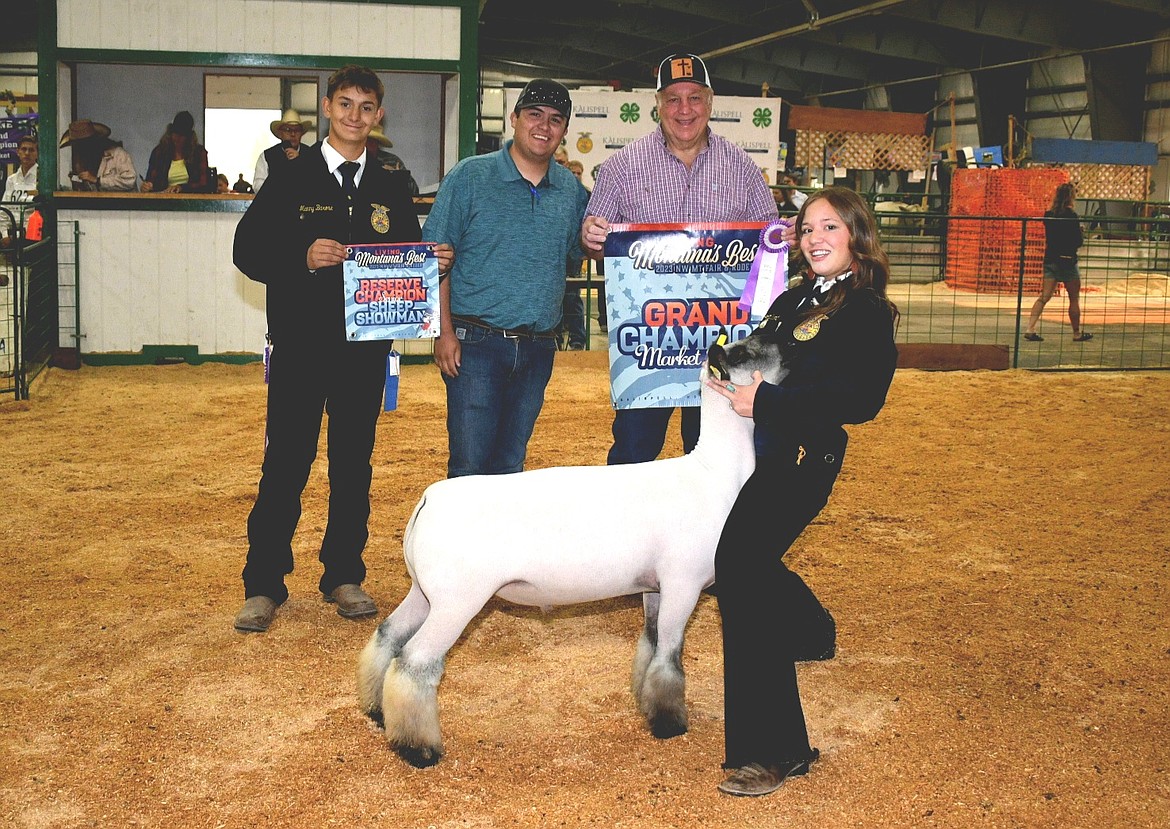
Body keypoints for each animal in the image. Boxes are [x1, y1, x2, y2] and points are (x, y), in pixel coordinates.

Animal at [351, 332, 781, 767]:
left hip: (425, 593)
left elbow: (651, 641)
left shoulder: (655, 586)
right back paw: (417, 748)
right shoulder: (684, 581)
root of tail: (429, 499)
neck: (714, 474)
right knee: (414, 662)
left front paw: (645, 703)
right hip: (457, 601)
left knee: (387, 636)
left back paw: (375, 711)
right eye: (745, 351)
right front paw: (669, 723)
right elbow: (669, 655)